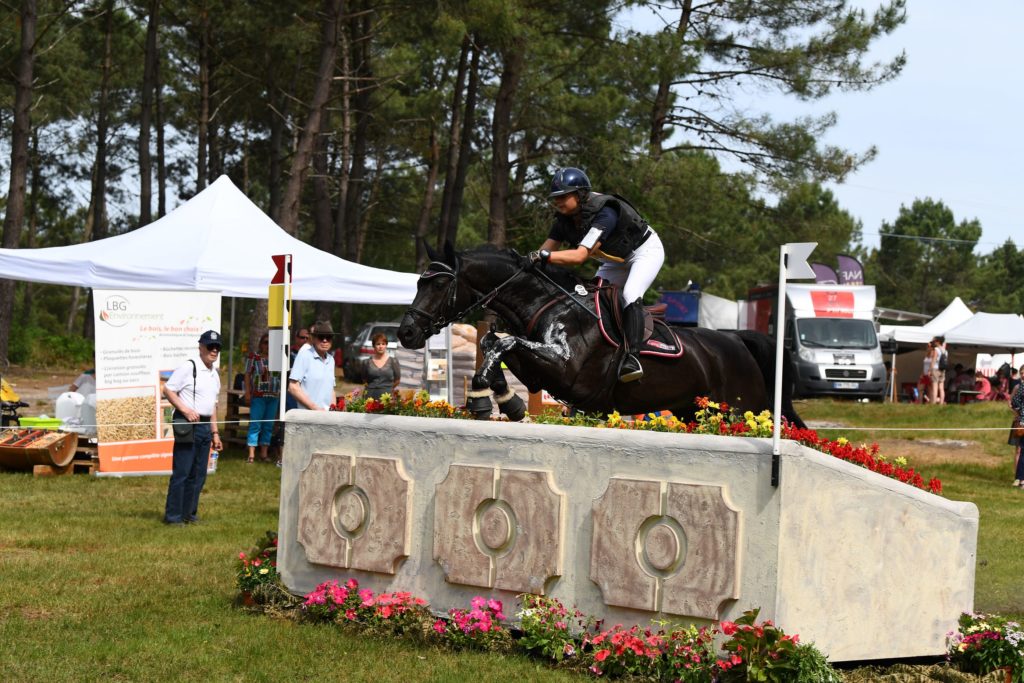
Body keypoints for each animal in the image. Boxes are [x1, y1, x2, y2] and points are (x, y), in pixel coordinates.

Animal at [395, 241, 802, 428]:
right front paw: (506, 402)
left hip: (743, 409)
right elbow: (493, 344)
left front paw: (484, 401)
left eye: (439, 284)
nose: (407, 332)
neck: (544, 302)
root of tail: (738, 341)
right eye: (417, 282)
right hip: (692, 410)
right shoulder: (540, 372)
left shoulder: (567, 371)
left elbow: (503, 342)